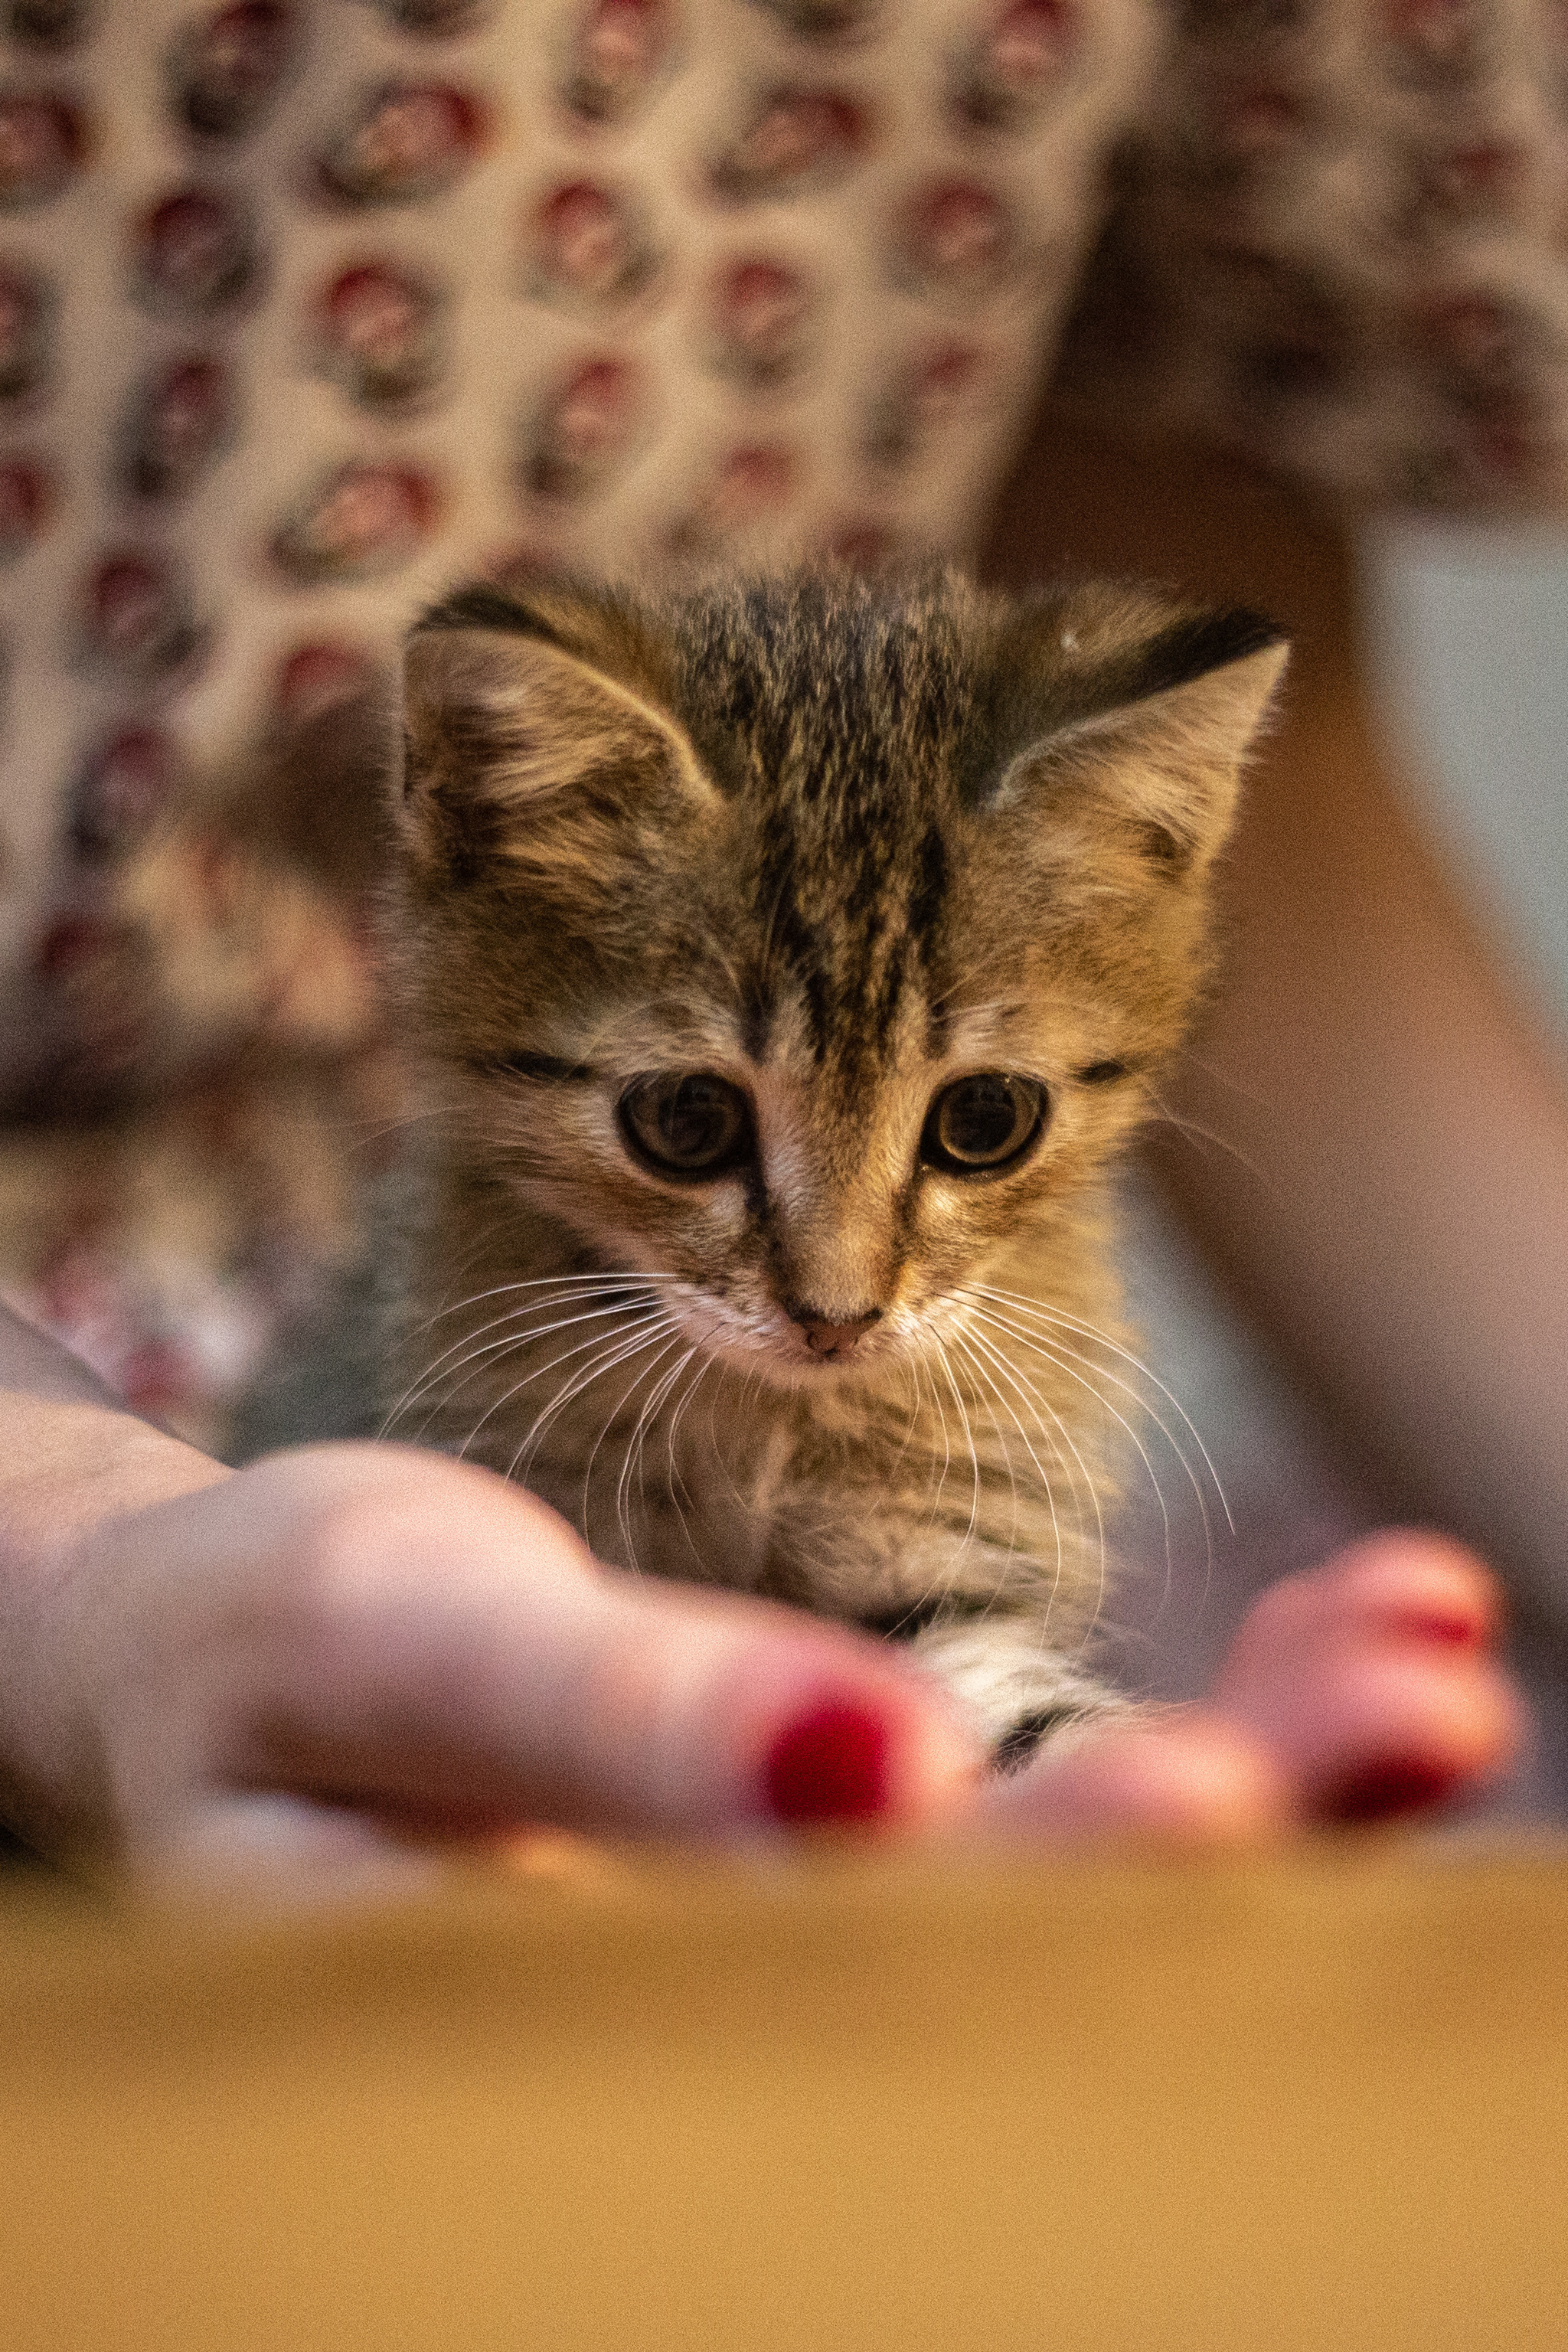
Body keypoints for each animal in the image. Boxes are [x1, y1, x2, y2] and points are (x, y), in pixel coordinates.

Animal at [381, 569, 1288, 1769]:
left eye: (986, 1119)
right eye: (684, 1118)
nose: (835, 1321)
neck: (776, 1424)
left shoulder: (934, 1548)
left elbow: (1006, 1709)